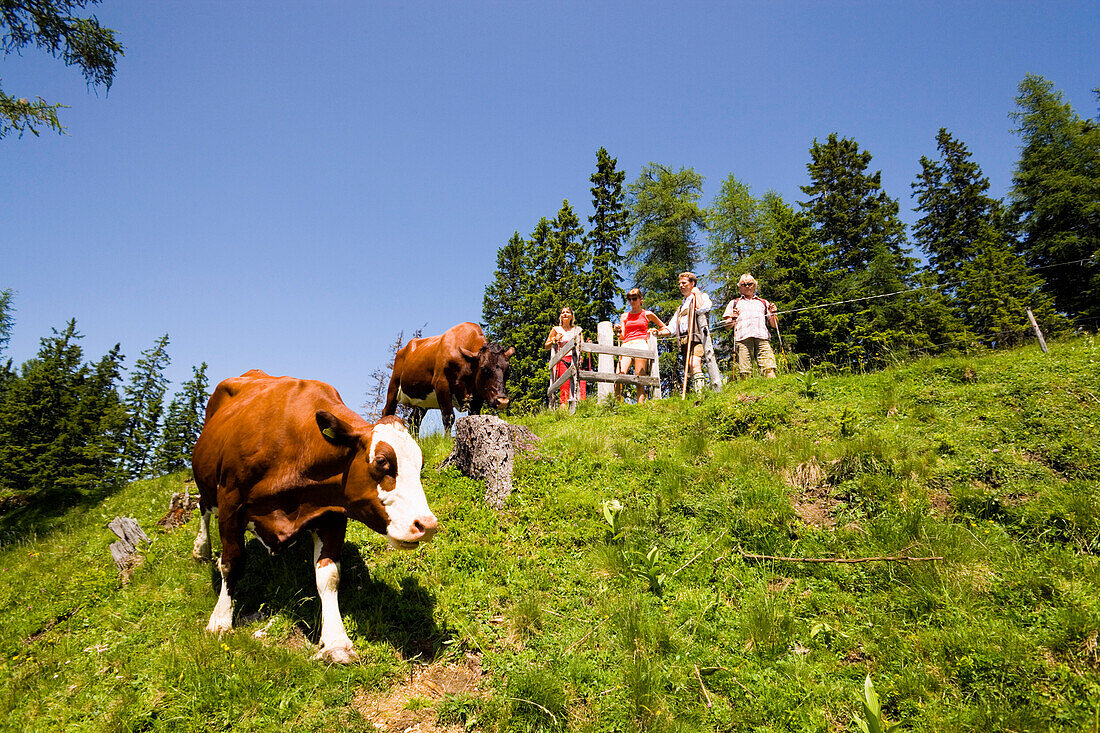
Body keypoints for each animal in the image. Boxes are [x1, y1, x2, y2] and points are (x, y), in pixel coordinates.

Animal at [191, 367, 435, 660]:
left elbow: (328, 575)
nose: (427, 525)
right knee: (203, 509)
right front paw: (220, 620)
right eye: (382, 461)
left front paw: (336, 641)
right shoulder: (231, 503)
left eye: (420, 465)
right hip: (207, 483)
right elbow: (231, 562)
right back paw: (201, 549)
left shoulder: (333, 515)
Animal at [382, 319, 514, 433]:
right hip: (393, 386)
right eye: (483, 368)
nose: (502, 401)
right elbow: (448, 417)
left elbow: (474, 416)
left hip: (421, 400)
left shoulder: (478, 394)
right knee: (387, 412)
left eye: (508, 370)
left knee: (414, 420)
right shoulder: (441, 384)